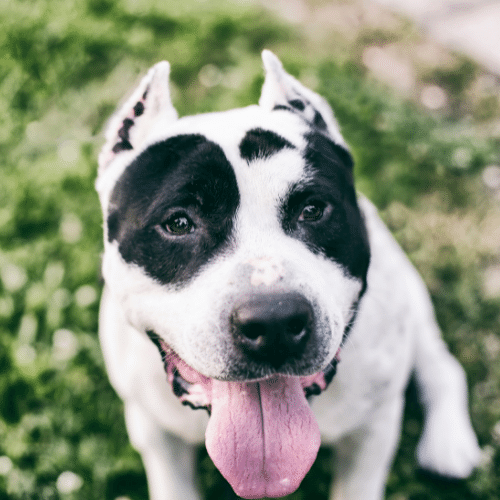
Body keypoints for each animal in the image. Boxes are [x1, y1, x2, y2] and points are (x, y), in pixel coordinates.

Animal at [94, 51, 480, 500]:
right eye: (178, 223)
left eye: (312, 210)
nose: (273, 322)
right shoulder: (154, 428)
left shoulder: (373, 429)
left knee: (441, 364)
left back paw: (448, 442)